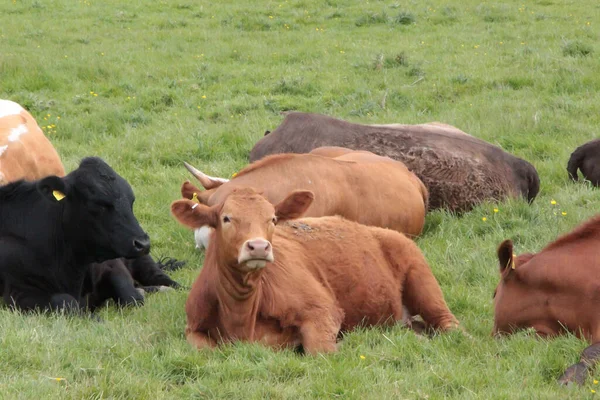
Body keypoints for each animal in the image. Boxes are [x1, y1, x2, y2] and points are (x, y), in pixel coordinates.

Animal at [0, 157, 155, 312]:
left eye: (131, 201)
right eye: (97, 203)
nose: (143, 244)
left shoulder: (110, 265)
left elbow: (131, 296)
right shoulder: (17, 292)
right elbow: (63, 300)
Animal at [171, 188, 458, 354]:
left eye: (273, 219)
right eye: (226, 218)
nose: (259, 247)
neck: (241, 314)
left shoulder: (321, 310)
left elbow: (320, 350)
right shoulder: (192, 327)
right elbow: (204, 349)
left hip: (422, 280)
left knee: (448, 323)